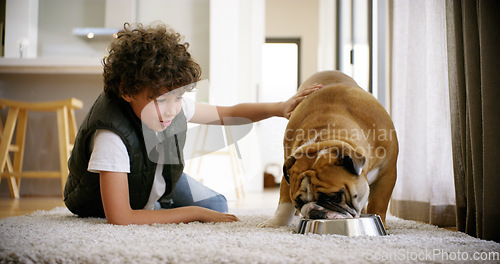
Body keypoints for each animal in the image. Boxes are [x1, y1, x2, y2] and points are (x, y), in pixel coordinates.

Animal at [260, 71, 396, 228]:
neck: (326, 138)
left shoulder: (387, 173)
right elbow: (284, 202)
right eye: (299, 202)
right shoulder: (287, 171)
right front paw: (275, 223)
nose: (314, 212)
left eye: (335, 197)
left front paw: (382, 224)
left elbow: (379, 203)